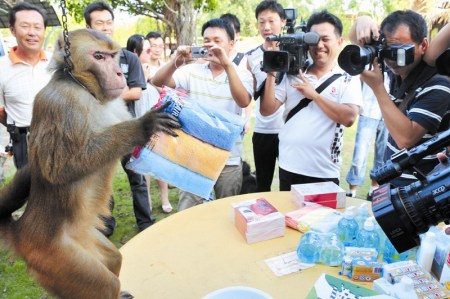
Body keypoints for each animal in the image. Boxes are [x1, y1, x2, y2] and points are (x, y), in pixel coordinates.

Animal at [0, 28, 179, 299]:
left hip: (84, 240)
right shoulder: (59, 104)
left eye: (114, 56)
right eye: (98, 56)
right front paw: (142, 127)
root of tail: (21, 232)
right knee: (104, 285)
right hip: (57, 260)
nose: (119, 74)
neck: (87, 91)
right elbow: (57, 168)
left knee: (114, 258)